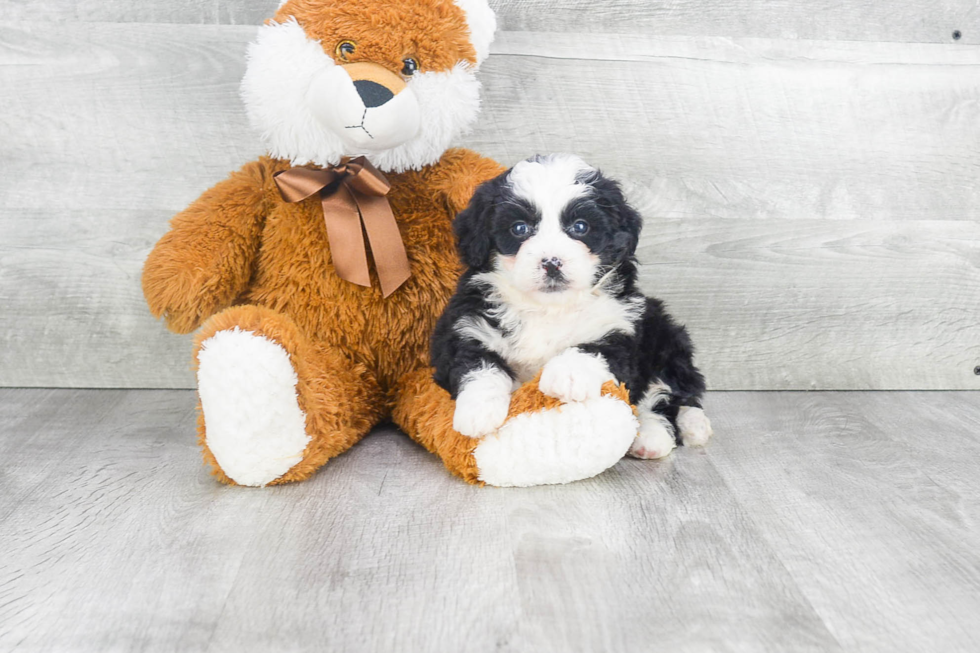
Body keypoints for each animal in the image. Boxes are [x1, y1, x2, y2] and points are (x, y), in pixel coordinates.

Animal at [428, 153, 712, 458]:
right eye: (519, 228)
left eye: (580, 226)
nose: (552, 262)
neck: (548, 308)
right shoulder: (466, 327)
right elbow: (478, 364)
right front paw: (478, 411)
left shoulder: (619, 327)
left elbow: (593, 349)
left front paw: (567, 375)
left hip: (665, 335)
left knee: (668, 394)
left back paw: (669, 432)